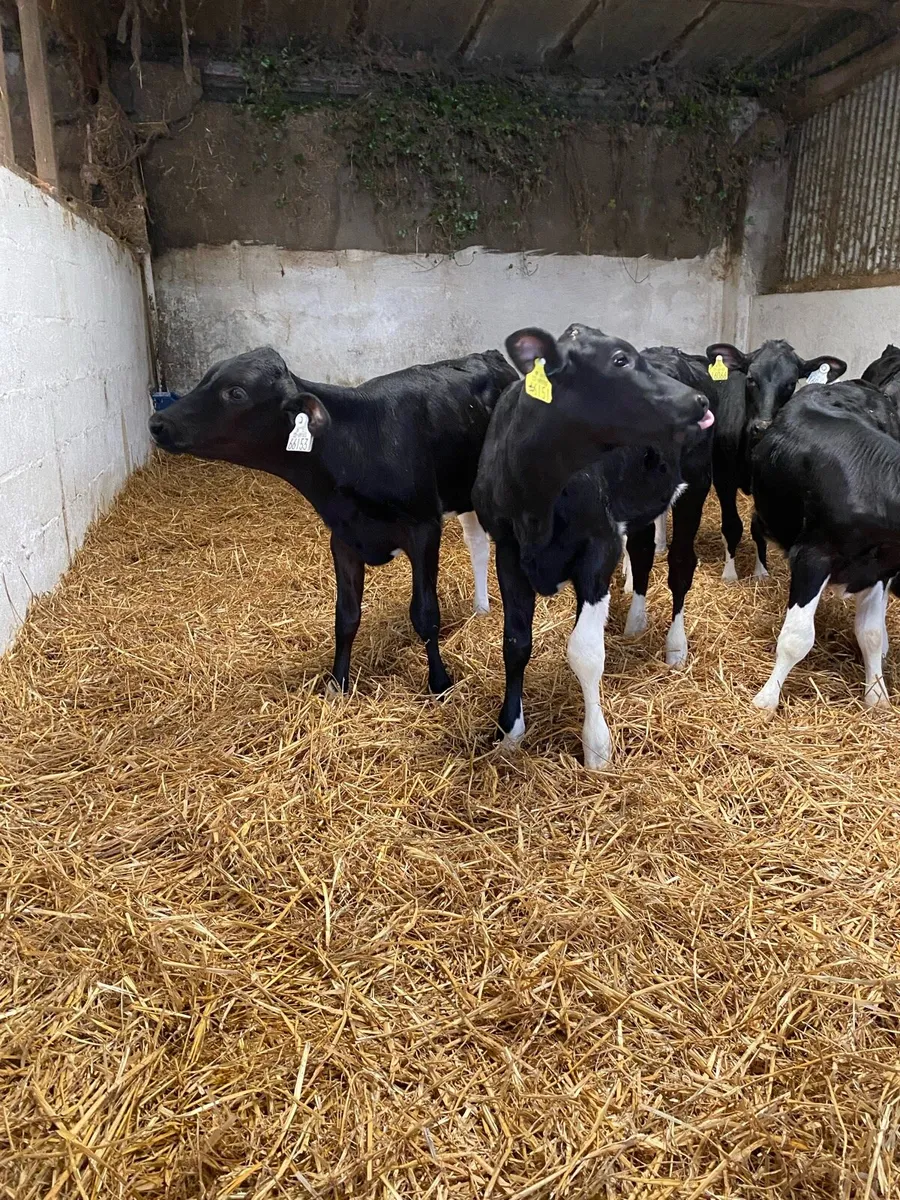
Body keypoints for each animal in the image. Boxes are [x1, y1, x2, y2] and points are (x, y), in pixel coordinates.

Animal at [149, 346, 517, 695]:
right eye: (205, 378)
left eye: (235, 392)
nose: (157, 423)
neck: (356, 445)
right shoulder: (343, 538)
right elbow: (346, 616)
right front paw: (337, 684)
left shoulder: (424, 528)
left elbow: (425, 613)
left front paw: (440, 683)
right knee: (477, 544)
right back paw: (481, 608)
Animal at [473, 323, 713, 770]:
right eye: (619, 360)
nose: (699, 402)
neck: (536, 501)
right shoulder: (509, 554)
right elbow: (515, 643)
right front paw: (510, 732)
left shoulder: (598, 549)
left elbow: (585, 652)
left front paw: (596, 746)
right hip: (639, 501)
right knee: (642, 553)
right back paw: (635, 622)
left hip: (696, 486)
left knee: (680, 566)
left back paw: (675, 646)